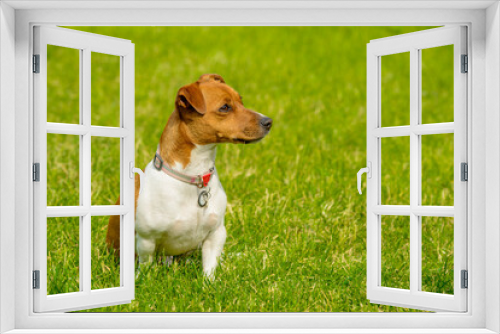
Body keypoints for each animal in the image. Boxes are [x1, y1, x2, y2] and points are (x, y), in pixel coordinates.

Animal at [103, 74, 272, 278]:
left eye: (241, 101)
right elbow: (146, 267)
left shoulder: (216, 234)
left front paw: (209, 283)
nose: (269, 121)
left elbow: (210, 268)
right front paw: (145, 279)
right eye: (225, 107)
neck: (194, 177)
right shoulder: (146, 240)